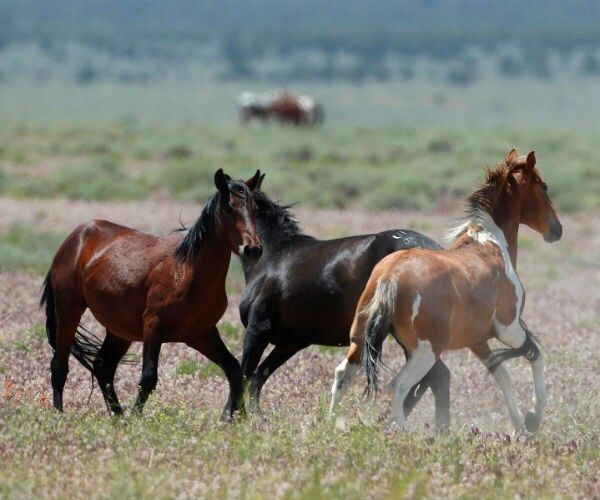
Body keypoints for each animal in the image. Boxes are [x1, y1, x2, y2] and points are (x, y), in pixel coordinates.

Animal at [39, 168, 260, 418]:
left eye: (255, 209)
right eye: (229, 208)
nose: (253, 249)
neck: (189, 271)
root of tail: (75, 237)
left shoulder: (203, 334)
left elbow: (234, 371)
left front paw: (237, 418)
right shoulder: (153, 325)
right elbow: (148, 378)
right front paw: (137, 418)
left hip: (119, 330)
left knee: (103, 367)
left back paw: (118, 416)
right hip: (69, 312)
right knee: (59, 365)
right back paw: (59, 415)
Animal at [239, 186, 450, 428]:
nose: (248, 250)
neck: (273, 257)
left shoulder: (258, 331)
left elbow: (244, 375)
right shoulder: (291, 342)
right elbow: (258, 376)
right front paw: (256, 416)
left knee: (433, 378)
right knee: (433, 378)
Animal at [328, 149, 564, 434]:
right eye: (543, 187)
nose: (557, 229)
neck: (490, 244)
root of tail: (390, 276)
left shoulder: (478, 340)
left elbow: (502, 375)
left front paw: (519, 425)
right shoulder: (509, 328)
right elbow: (535, 355)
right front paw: (533, 417)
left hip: (360, 340)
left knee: (343, 375)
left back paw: (328, 423)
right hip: (426, 352)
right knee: (398, 386)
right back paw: (406, 433)